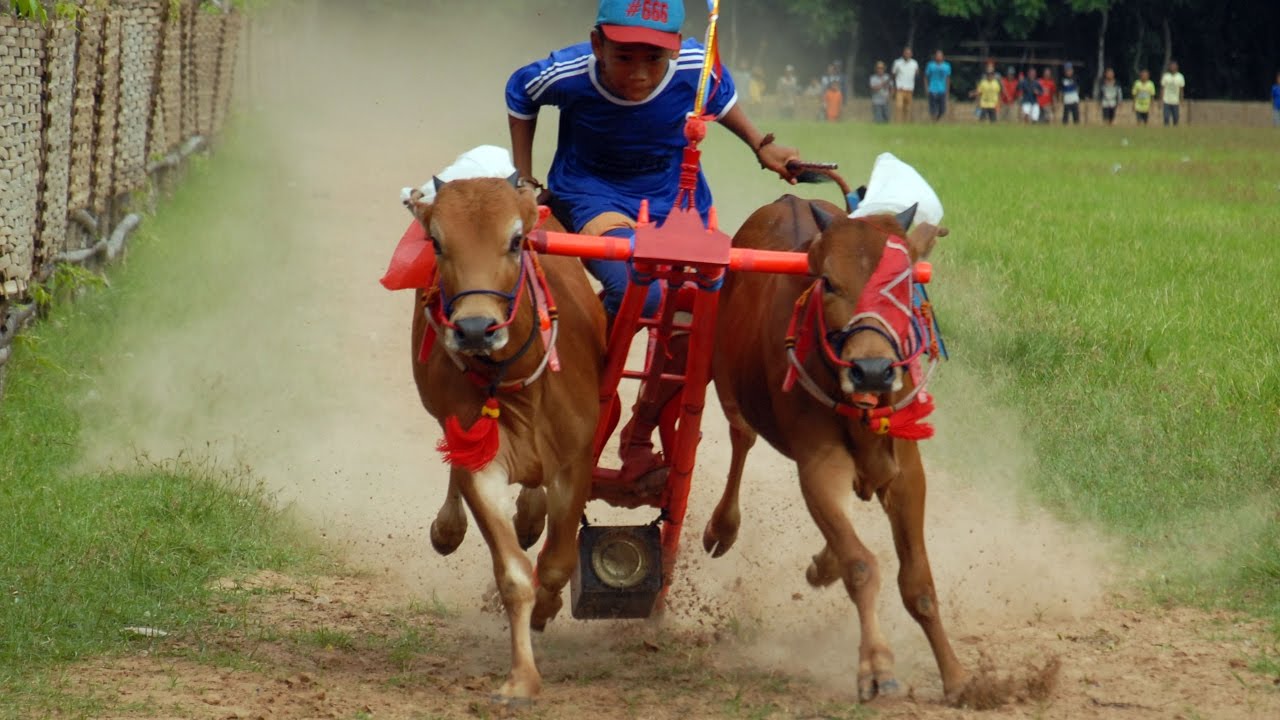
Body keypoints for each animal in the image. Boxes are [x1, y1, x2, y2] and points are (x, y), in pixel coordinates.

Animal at [409, 176, 609, 696]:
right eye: (437, 242)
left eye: (517, 240)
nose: (476, 329)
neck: (520, 386)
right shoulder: (481, 461)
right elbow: (515, 573)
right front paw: (521, 679)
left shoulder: (575, 461)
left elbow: (557, 561)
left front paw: (546, 609)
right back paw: (449, 527)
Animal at [706, 193, 962, 696]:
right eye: (828, 281)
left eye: (904, 281)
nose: (873, 371)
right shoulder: (819, 467)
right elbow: (861, 566)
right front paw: (877, 666)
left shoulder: (906, 472)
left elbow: (918, 583)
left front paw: (958, 677)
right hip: (728, 387)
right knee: (741, 442)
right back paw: (721, 528)